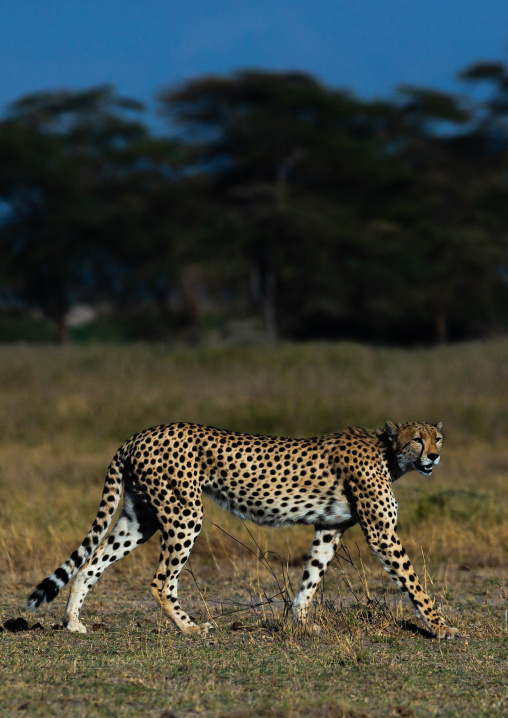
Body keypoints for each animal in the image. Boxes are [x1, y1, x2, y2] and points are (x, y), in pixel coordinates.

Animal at [26, 420, 459, 639]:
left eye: (437, 437)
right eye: (416, 439)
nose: (435, 456)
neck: (388, 453)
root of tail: (139, 434)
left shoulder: (329, 527)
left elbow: (311, 578)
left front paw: (300, 624)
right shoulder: (382, 534)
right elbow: (414, 583)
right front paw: (442, 627)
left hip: (140, 517)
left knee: (90, 563)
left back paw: (74, 622)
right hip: (185, 513)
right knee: (161, 580)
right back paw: (192, 628)